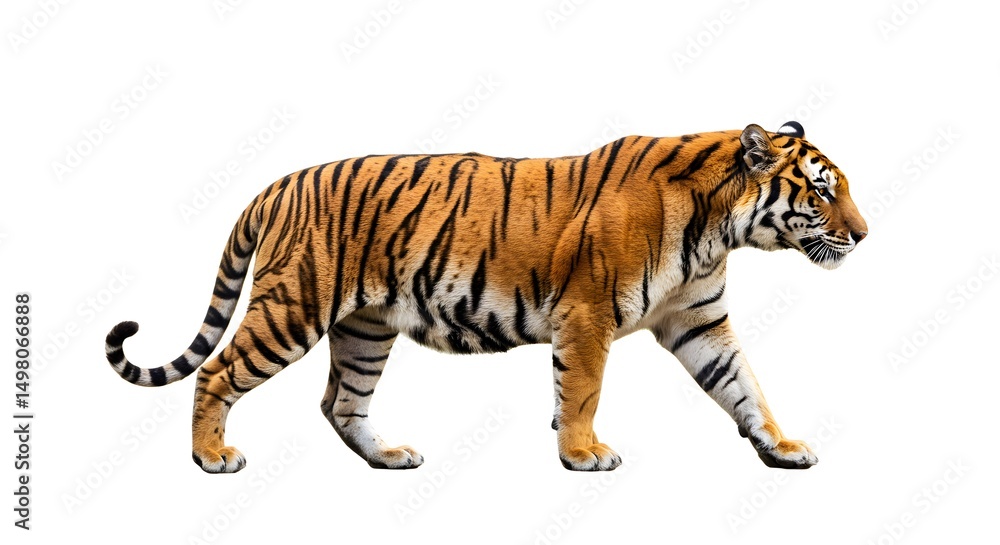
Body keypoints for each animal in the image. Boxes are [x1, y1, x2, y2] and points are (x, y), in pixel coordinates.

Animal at [105, 120, 867, 473]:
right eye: (823, 190)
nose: (864, 234)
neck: (718, 229)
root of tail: (278, 184)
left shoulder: (700, 321)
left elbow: (745, 387)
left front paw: (783, 446)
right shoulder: (587, 315)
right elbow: (583, 390)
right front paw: (583, 453)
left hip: (365, 327)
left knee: (340, 402)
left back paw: (389, 457)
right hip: (293, 306)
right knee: (216, 372)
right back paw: (212, 457)